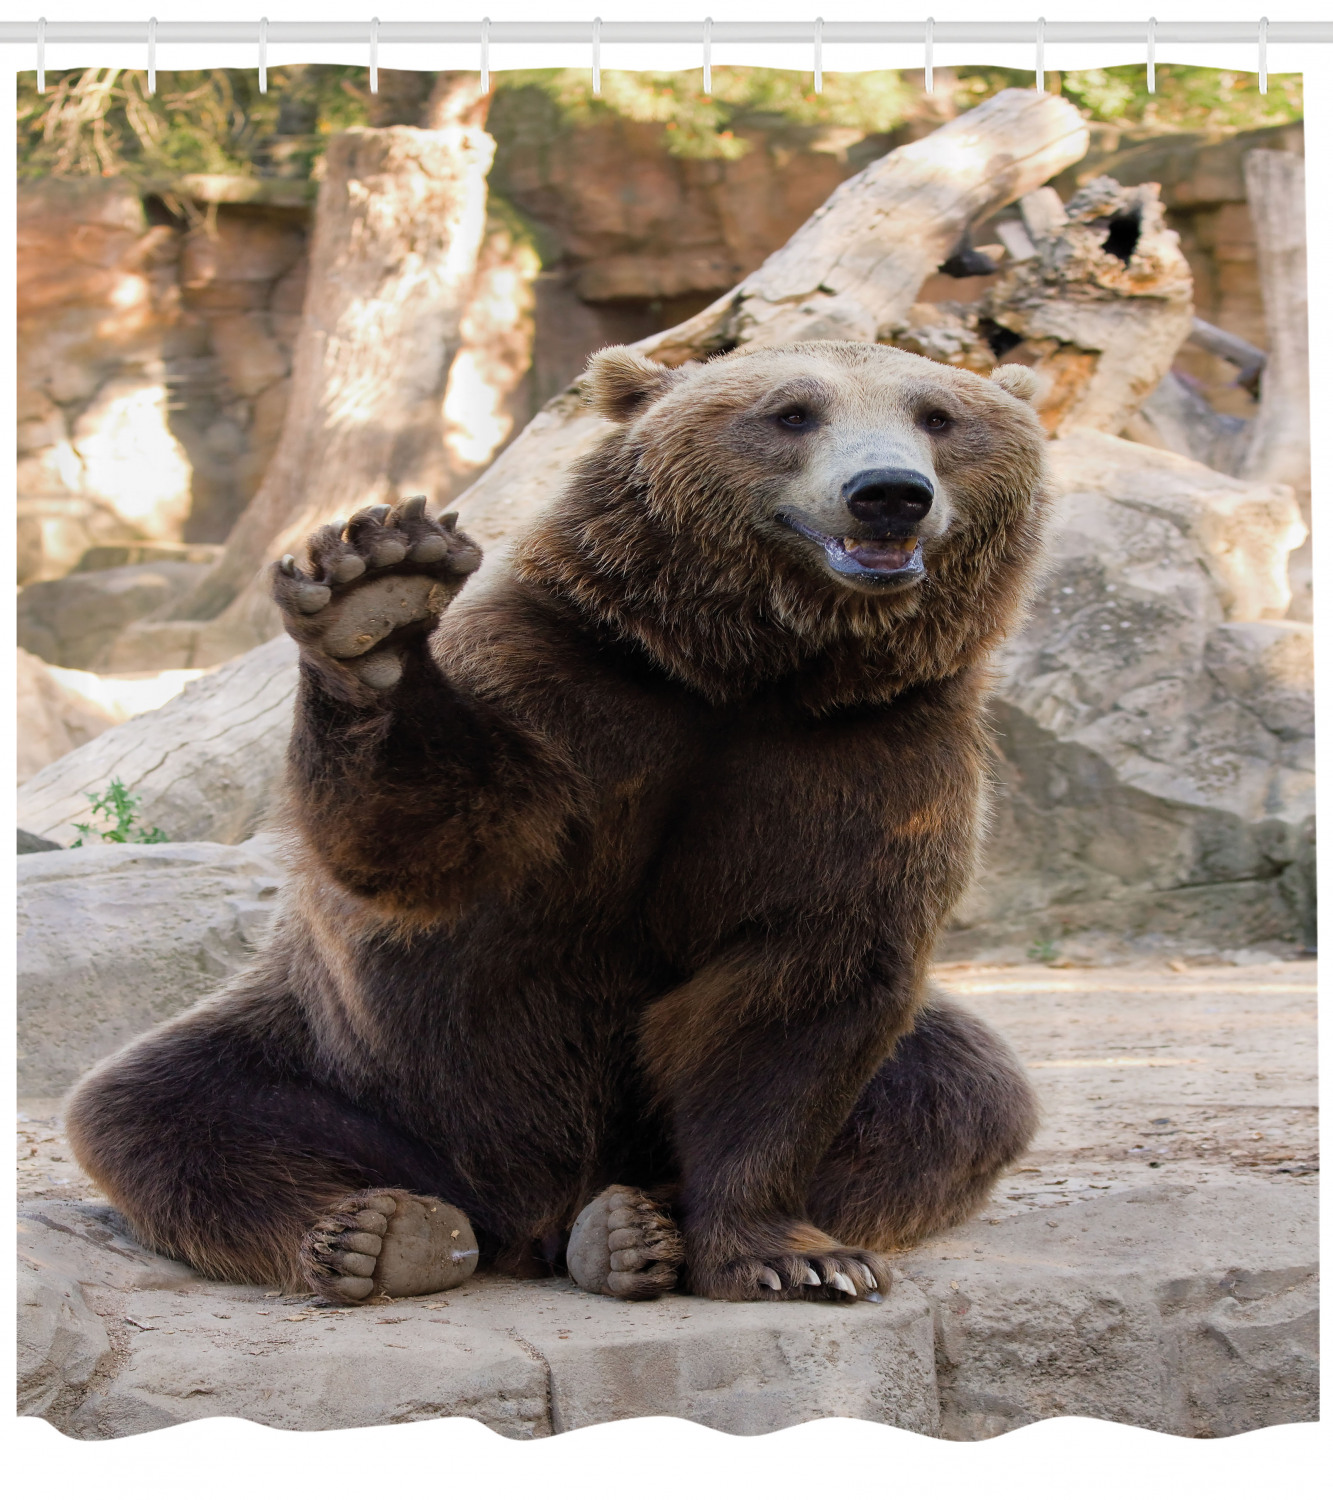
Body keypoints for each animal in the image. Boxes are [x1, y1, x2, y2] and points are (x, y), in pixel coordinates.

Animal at [66, 340, 1047, 1306]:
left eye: (937, 415)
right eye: (791, 412)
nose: (888, 491)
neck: (752, 672)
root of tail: (525, 1217)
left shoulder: (872, 755)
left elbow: (802, 997)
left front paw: (797, 1258)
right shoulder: (565, 687)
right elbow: (424, 841)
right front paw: (374, 601)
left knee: (961, 1094)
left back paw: (628, 1229)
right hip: (351, 1063)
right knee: (160, 1108)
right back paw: (379, 1236)